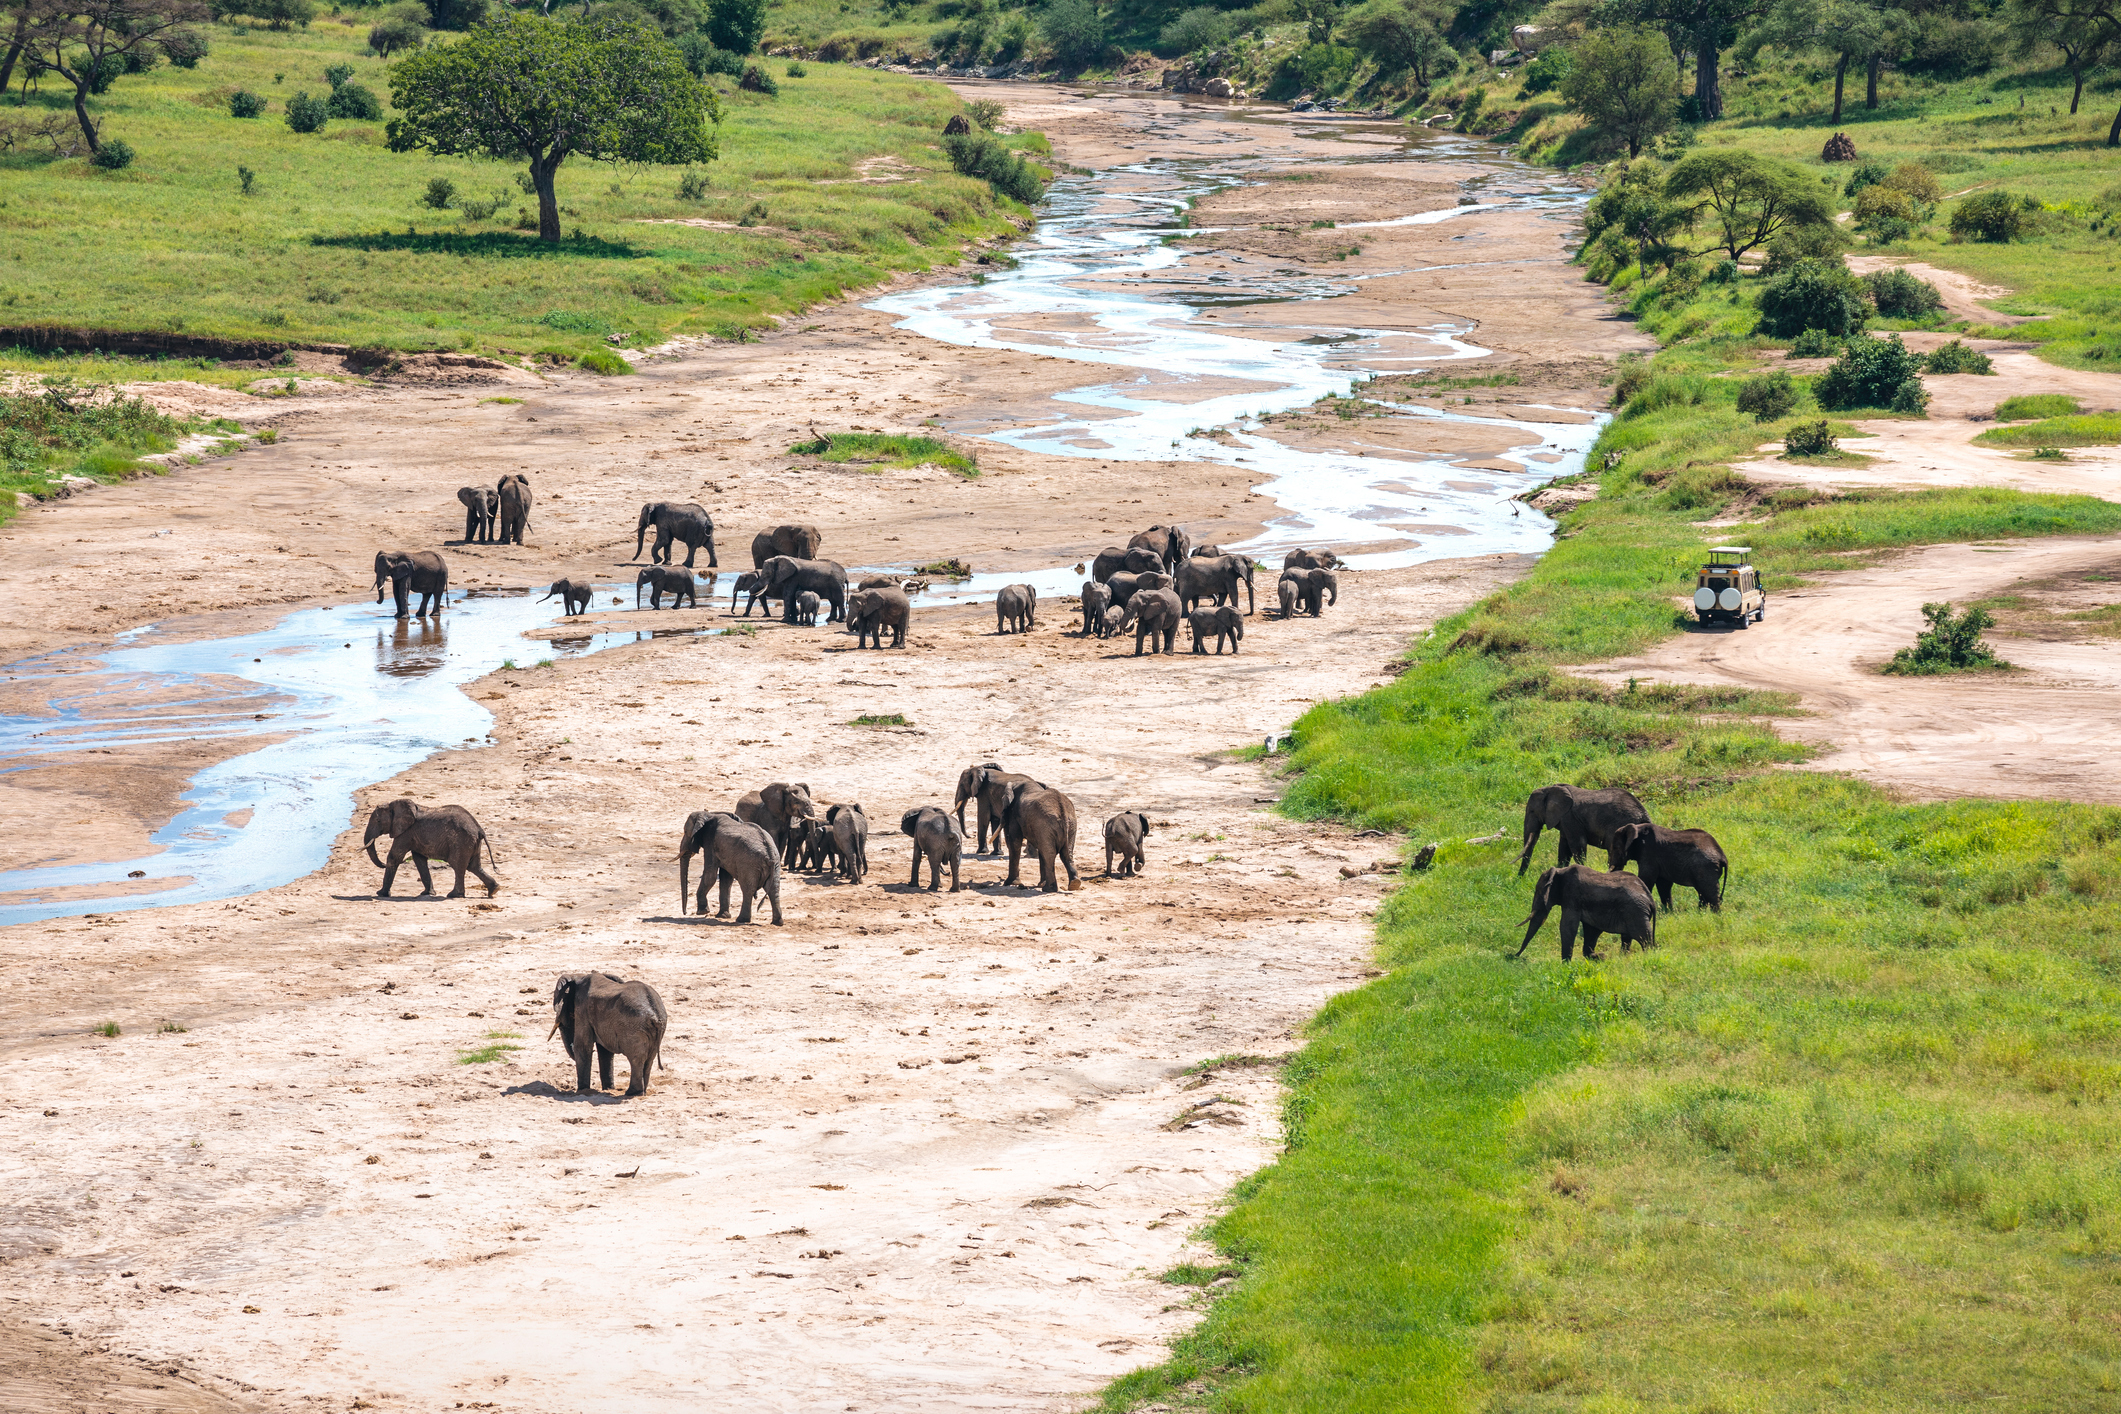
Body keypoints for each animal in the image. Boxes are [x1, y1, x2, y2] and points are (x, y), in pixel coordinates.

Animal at [362, 798, 497, 898]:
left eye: (378, 821)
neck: (393, 804)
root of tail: (479, 829)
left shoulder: (406, 833)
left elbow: (394, 857)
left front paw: (381, 894)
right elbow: (419, 859)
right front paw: (427, 893)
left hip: (461, 841)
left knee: (458, 865)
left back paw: (453, 895)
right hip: (472, 842)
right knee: (474, 867)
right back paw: (494, 890)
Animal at [1513, 865, 1657, 961]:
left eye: (1538, 891)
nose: (1514, 956)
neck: (1560, 871)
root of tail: (1651, 899)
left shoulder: (1572, 896)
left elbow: (1567, 926)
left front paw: (1565, 964)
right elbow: (1590, 929)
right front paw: (1600, 957)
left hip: (1636, 913)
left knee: (1644, 939)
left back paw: (1648, 956)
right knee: (1627, 938)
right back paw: (1622, 959)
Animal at [1516, 784, 1652, 877]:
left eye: (1532, 811)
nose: (1519, 879)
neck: (1551, 788)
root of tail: (1644, 814)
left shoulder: (1570, 818)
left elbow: (1577, 846)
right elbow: (1564, 848)